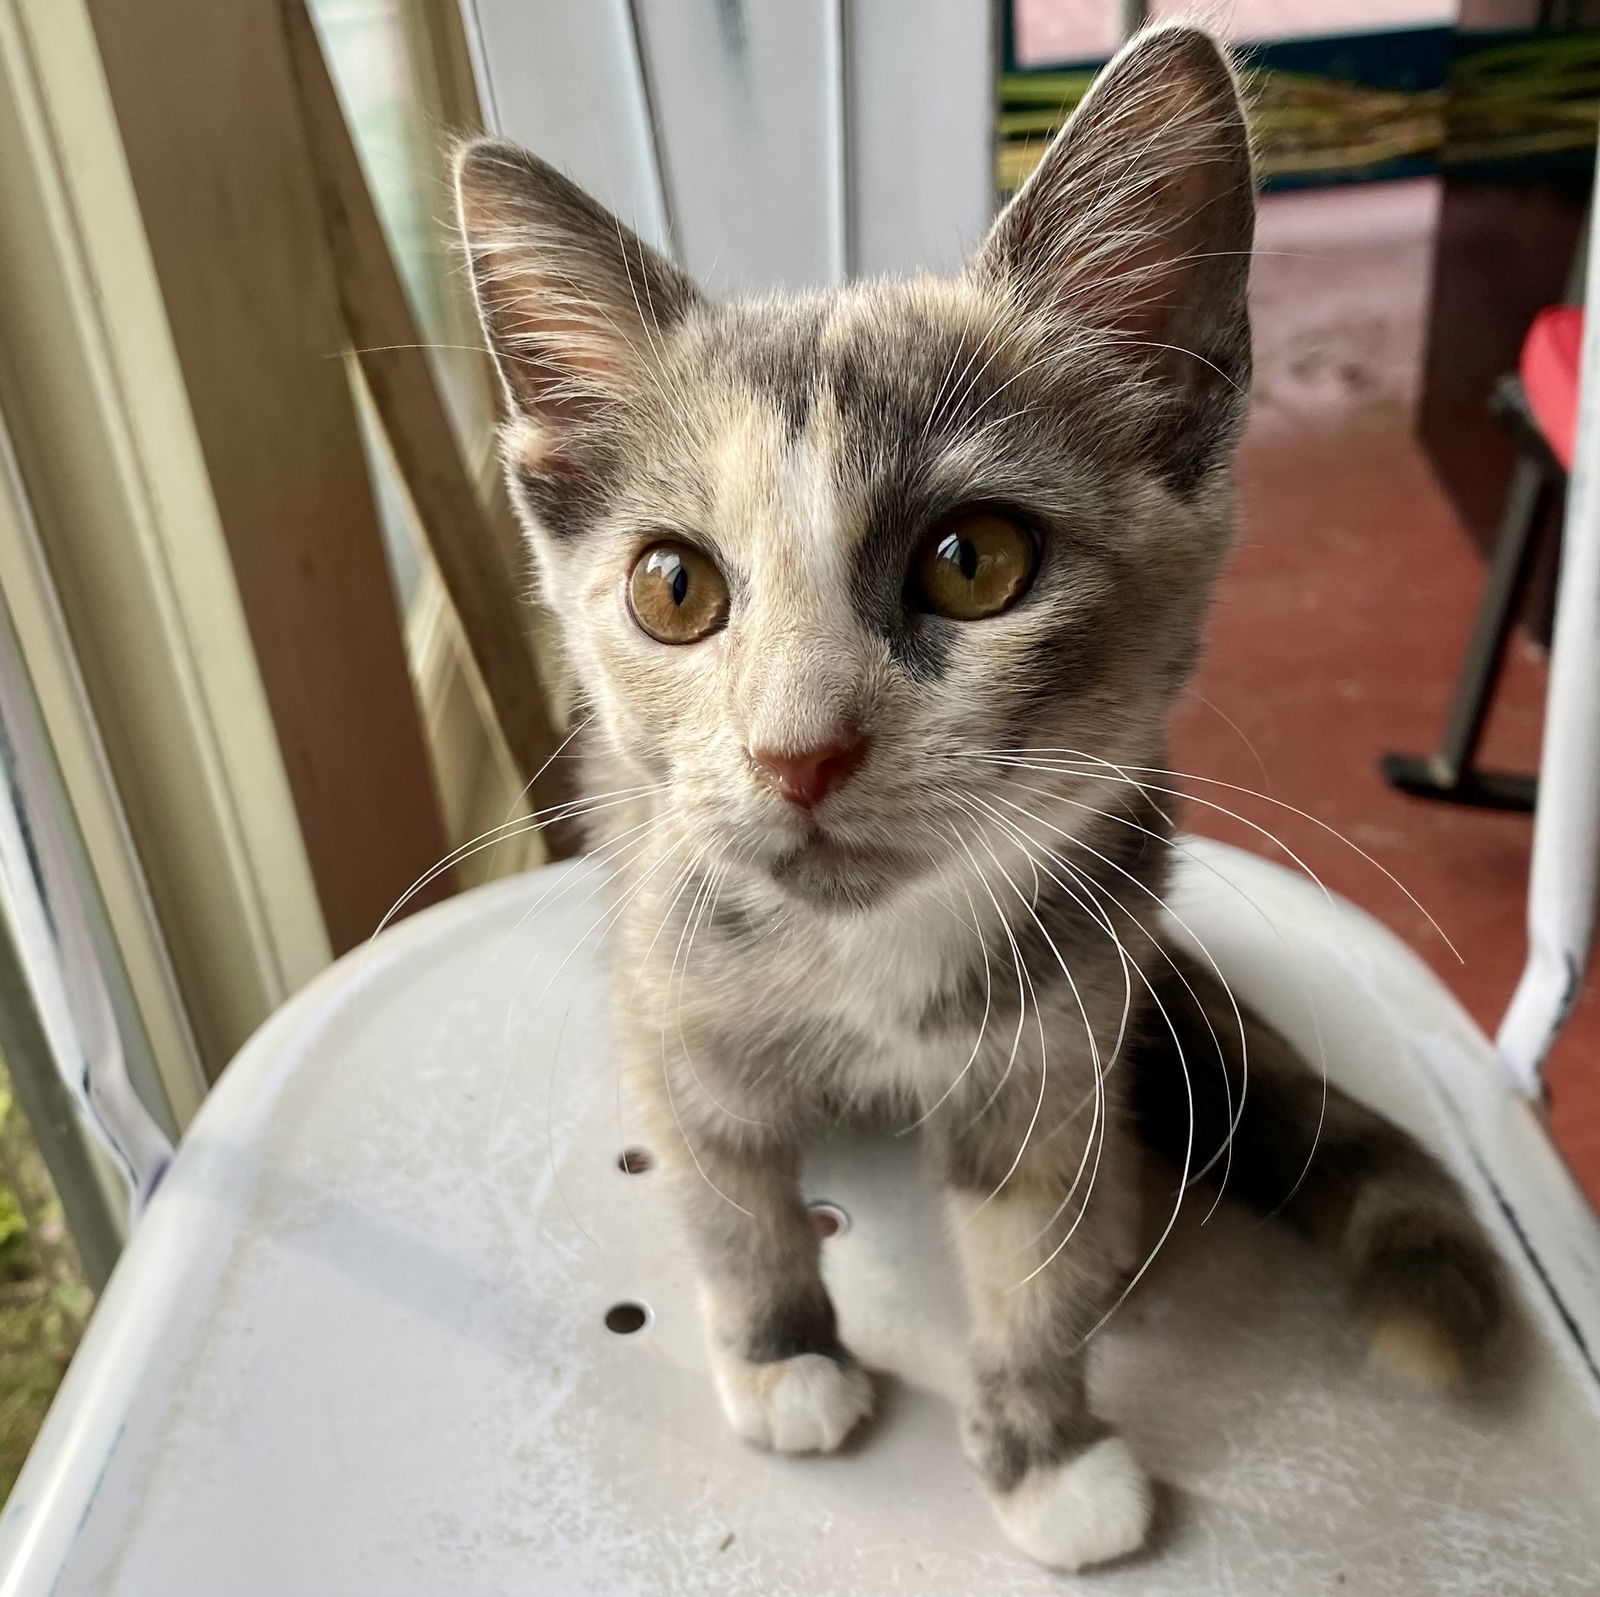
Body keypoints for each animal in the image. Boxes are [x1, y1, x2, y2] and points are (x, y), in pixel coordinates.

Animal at [457, 21, 1504, 1574]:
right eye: (673, 587)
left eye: (974, 561)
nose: (798, 749)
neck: (867, 957)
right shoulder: (671, 979)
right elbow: (725, 1189)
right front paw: (783, 1354)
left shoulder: (1058, 1046)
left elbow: (1037, 1254)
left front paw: (1047, 1446)